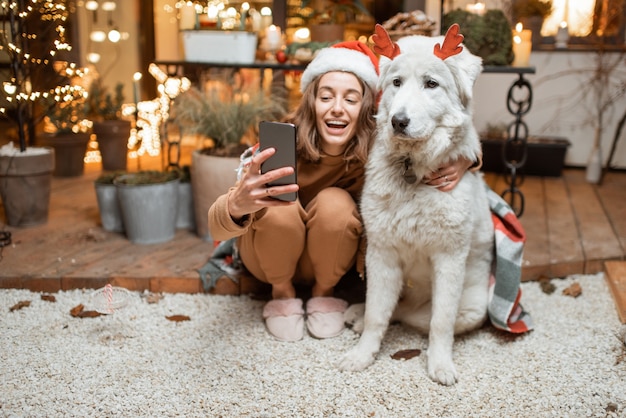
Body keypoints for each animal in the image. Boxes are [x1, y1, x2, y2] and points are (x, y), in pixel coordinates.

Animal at [338, 25, 494, 386]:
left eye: (431, 83)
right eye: (396, 82)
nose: (398, 121)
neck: (414, 172)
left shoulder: (449, 259)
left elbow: (440, 322)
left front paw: (440, 365)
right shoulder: (381, 254)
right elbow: (376, 315)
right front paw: (363, 355)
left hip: (475, 307)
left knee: (412, 315)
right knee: (385, 309)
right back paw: (357, 315)